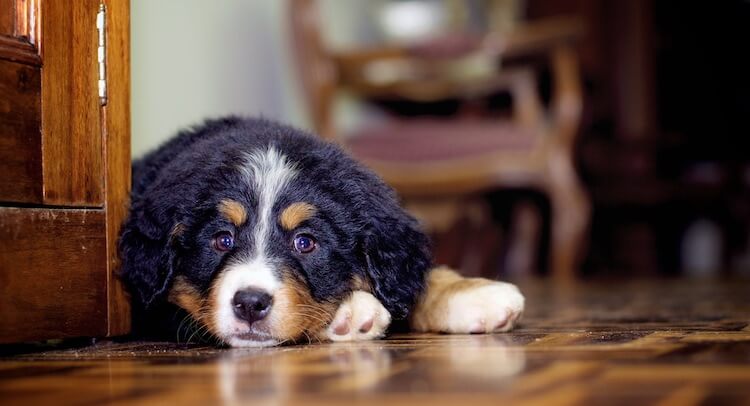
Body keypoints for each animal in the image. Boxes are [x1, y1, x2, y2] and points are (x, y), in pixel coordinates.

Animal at [120, 116, 524, 346]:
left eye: (305, 243)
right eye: (222, 240)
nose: (250, 303)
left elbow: (417, 281)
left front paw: (471, 293)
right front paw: (352, 311)